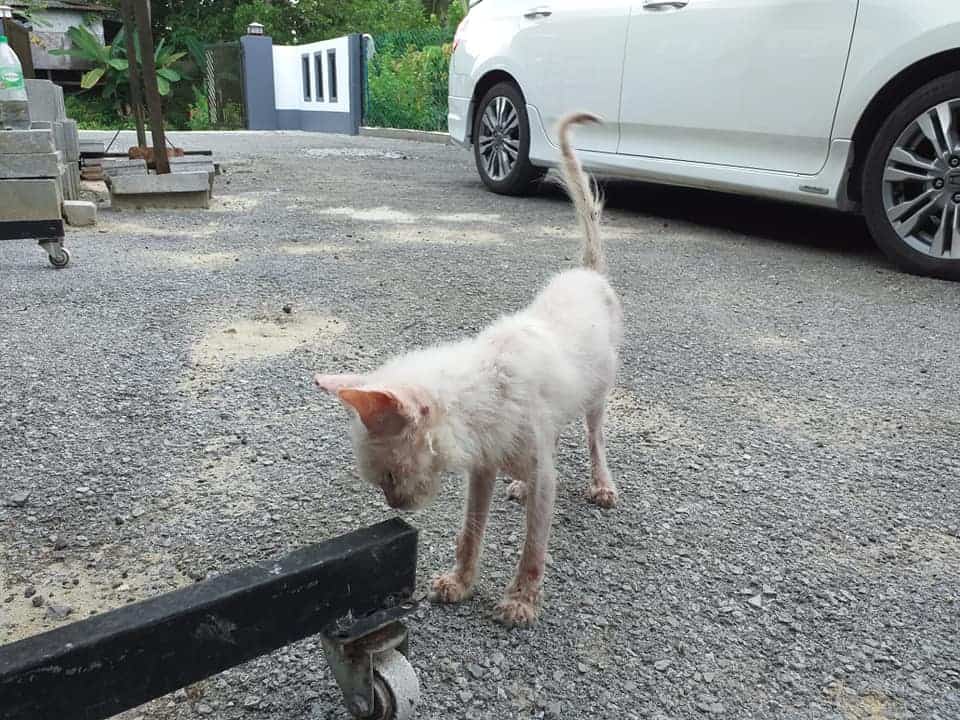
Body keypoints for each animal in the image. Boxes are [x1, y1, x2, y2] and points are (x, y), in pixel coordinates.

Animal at [316, 112, 624, 624]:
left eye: (390, 479)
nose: (396, 504)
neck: (487, 386)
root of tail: (588, 272)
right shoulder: (481, 469)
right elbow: (470, 528)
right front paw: (461, 583)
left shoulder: (540, 477)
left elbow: (534, 544)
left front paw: (521, 599)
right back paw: (519, 484)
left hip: (598, 392)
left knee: (594, 437)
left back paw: (601, 484)